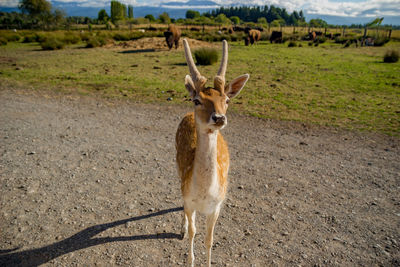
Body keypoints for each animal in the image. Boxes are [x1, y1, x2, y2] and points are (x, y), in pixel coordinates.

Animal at [176, 38, 248, 267]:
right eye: (196, 100)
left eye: (227, 100)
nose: (219, 118)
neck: (204, 194)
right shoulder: (189, 201)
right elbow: (193, 232)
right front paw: (189, 259)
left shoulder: (216, 207)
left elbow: (209, 239)